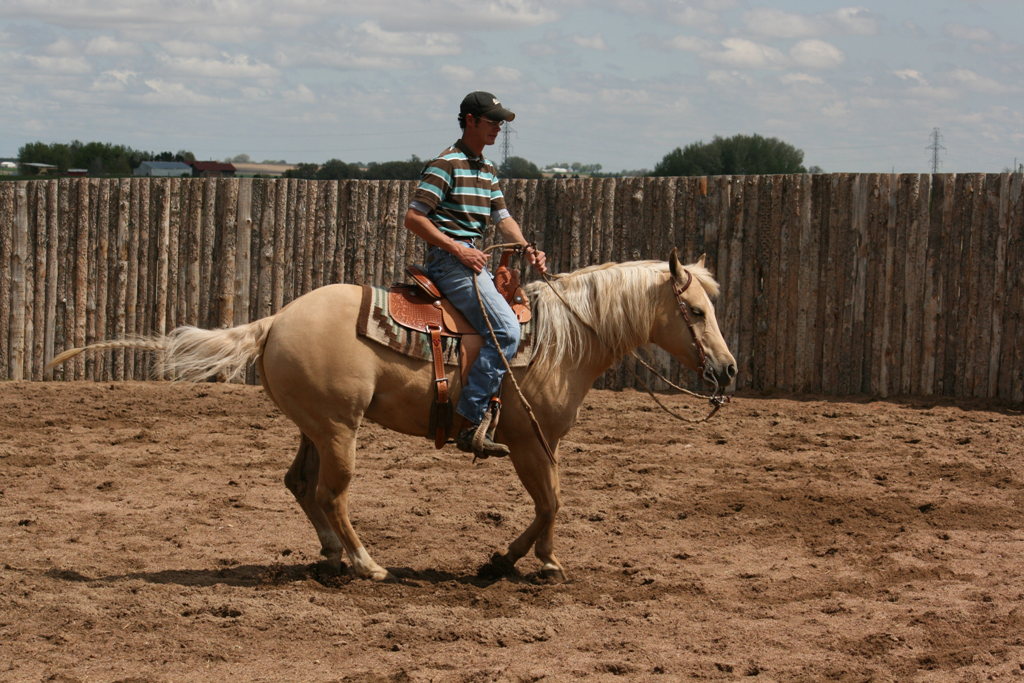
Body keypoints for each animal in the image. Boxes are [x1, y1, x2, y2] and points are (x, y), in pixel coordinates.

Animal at [50, 249, 736, 583]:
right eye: (696, 311)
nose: (728, 371)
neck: (564, 338)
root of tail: (276, 320)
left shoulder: (545, 442)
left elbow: (552, 503)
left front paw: (533, 560)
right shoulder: (525, 441)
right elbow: (551, 502)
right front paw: (517, 563)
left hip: (312, 427)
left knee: (300, 485)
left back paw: (331, 557)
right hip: (339, 430)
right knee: (331, 495)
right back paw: (365, 563)